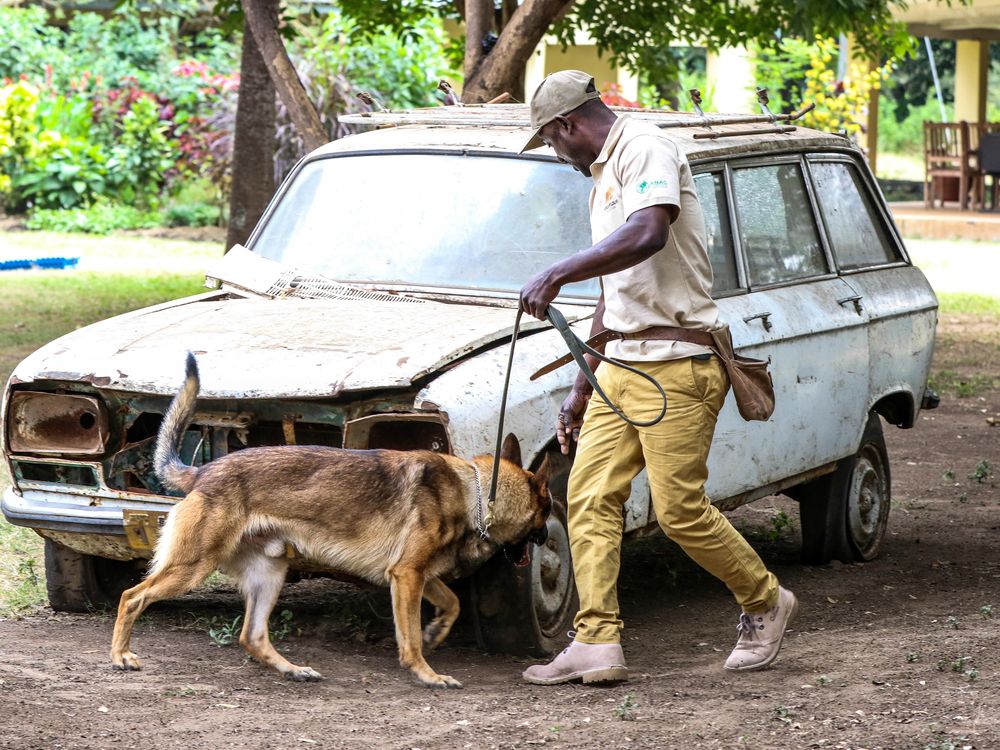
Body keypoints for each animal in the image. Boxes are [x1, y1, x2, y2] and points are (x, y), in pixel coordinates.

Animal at [111, 356, 556, 692]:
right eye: (548, 510)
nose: (549, 538)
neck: (476, 492)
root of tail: (203, 472)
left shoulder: (416, 576)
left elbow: (452, 603)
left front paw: (436, 632)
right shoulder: (407, 575)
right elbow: (410, 638)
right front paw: (428, 674)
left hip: (269, 575)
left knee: (251, 636)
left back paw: (293, 670)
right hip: (194, 567)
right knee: (131, 596)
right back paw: (120, 655)